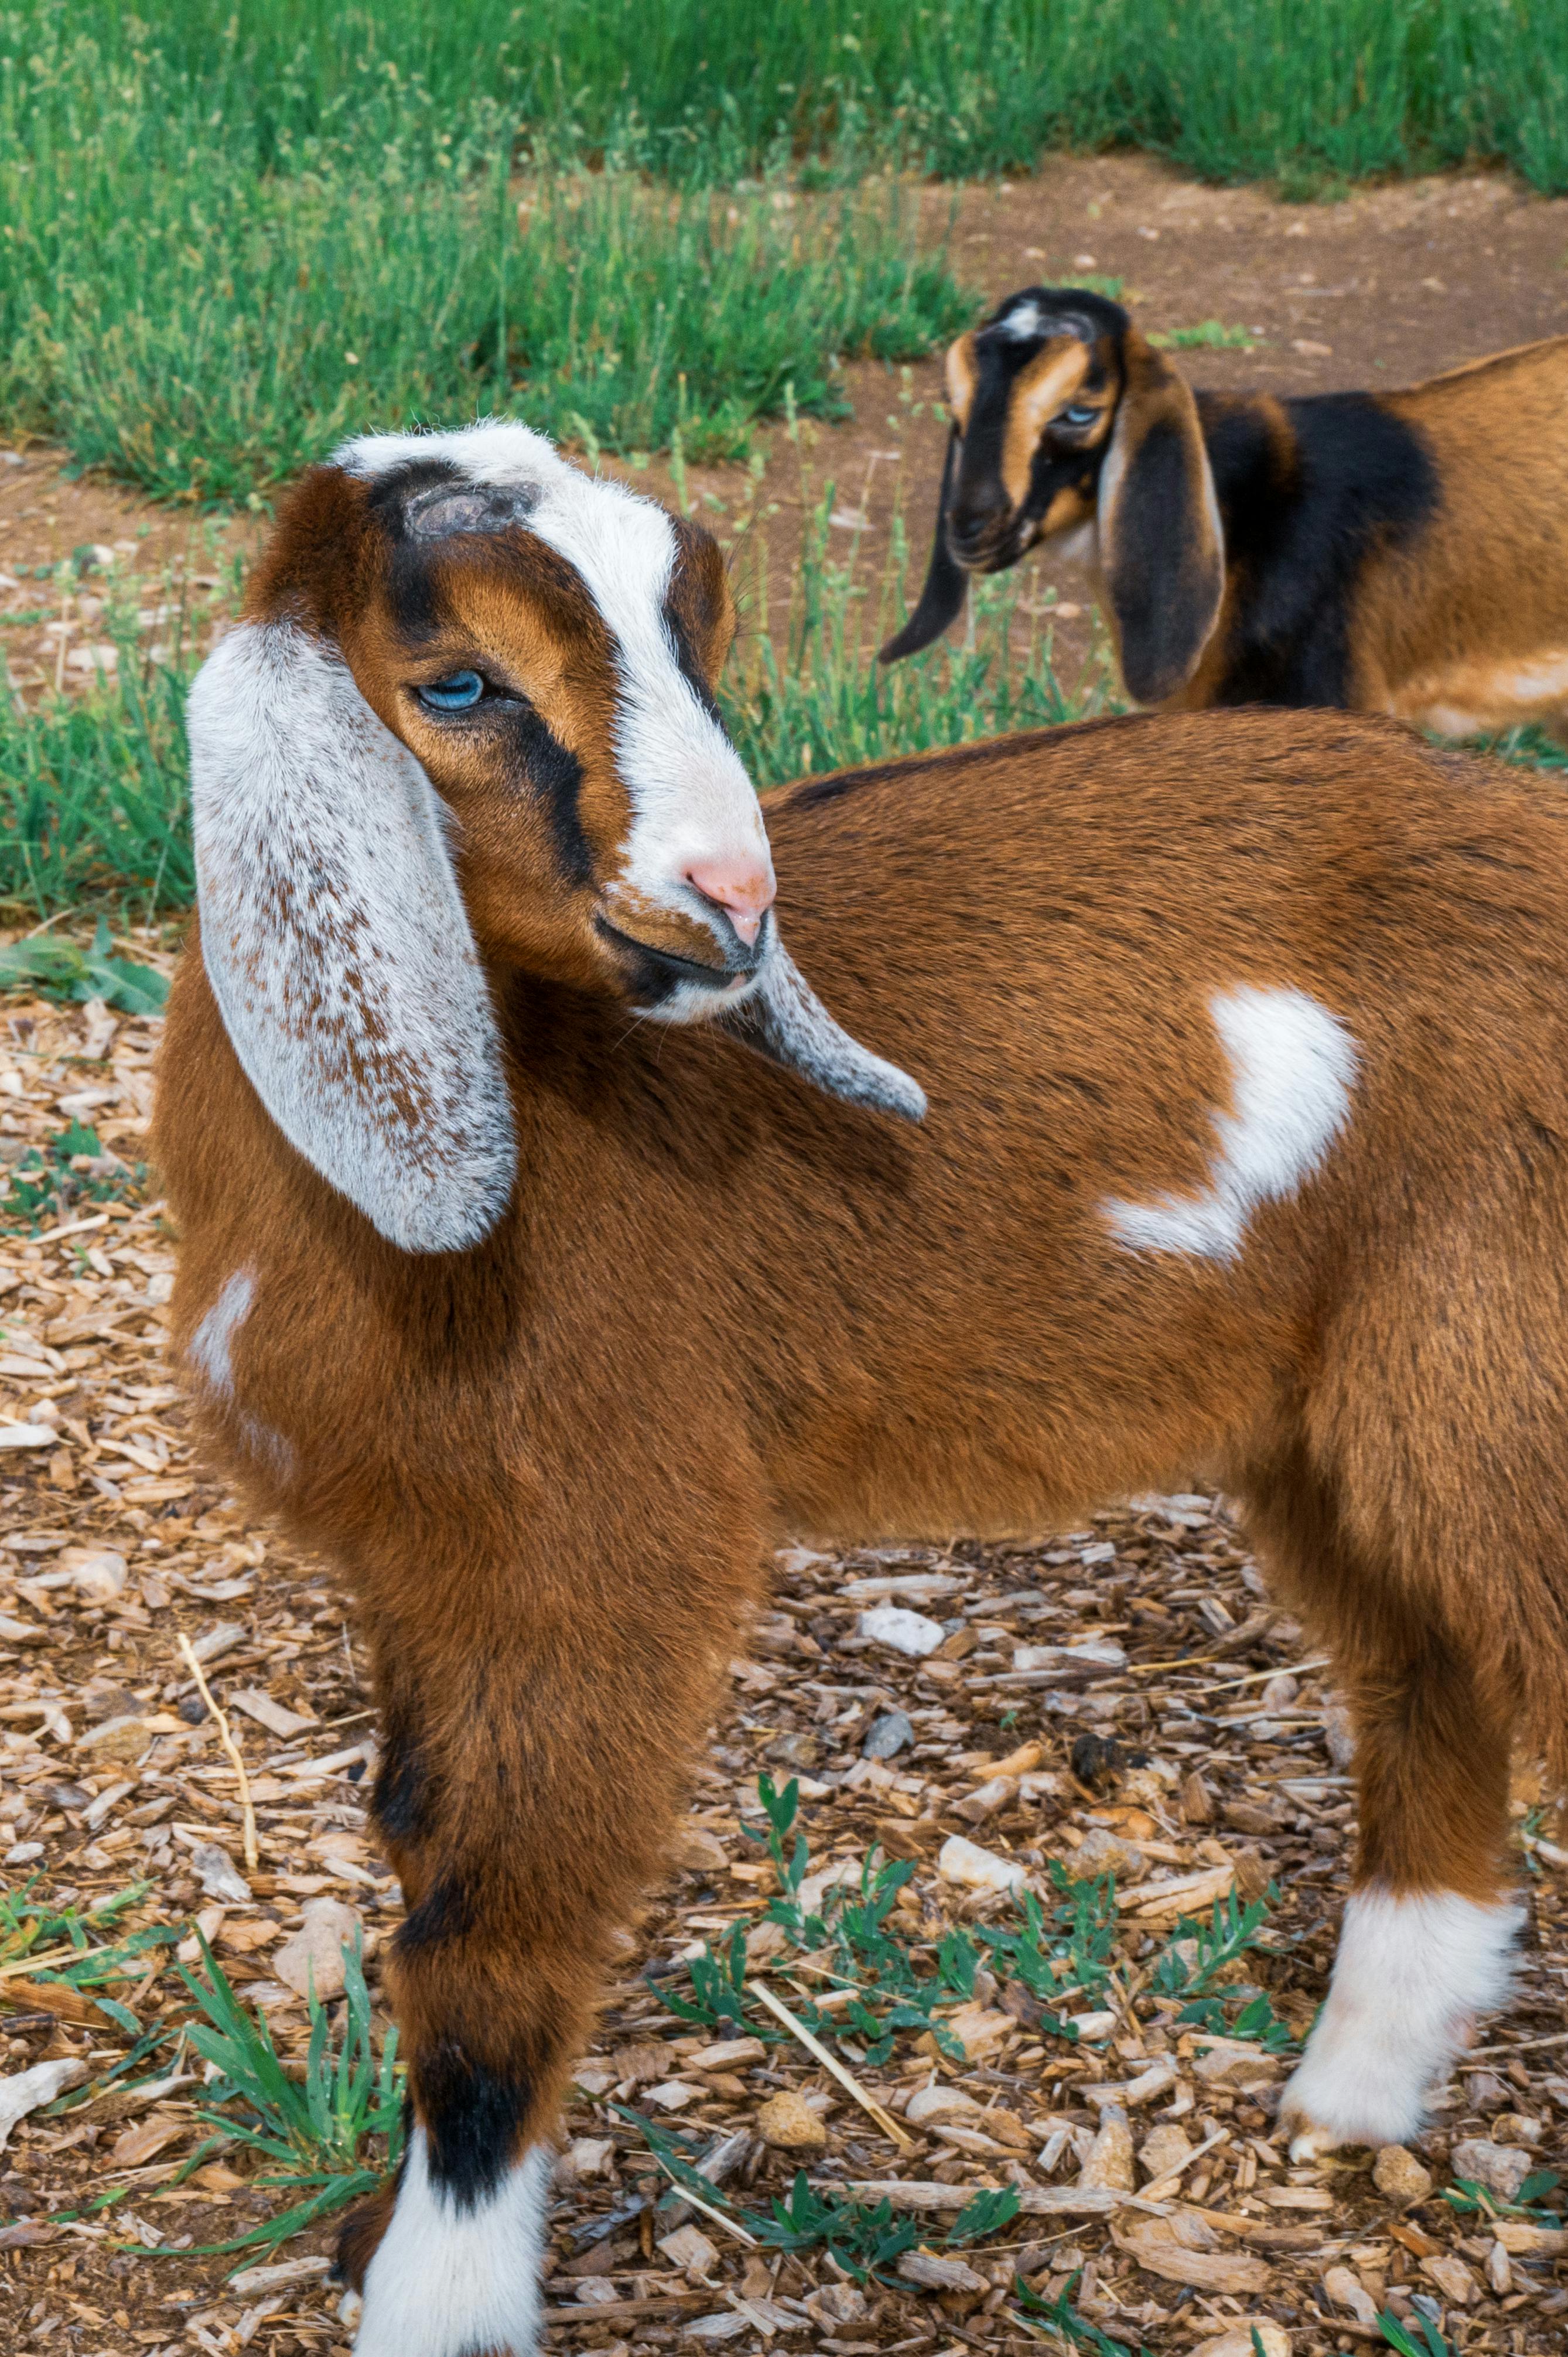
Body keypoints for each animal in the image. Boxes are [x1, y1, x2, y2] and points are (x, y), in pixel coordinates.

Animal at [157, 418, 1568, 2357]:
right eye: (453, 682)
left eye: (700, 638)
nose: (735, 909)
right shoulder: (416, 1562)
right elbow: (416, 1842)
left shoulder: (596, 1540)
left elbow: (490, 1929)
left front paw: (438, 2301)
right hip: (1348, 1404)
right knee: (1429, 1677)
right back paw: (1351, 2091)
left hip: (1496, 1352)